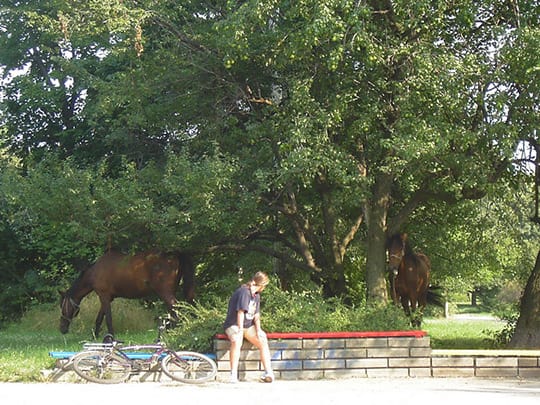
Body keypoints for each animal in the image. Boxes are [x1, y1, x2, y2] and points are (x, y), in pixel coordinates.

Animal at [59, 250, 195, 336]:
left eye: (63, 306)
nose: (62, 328)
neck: (94, 272)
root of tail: (174, 255)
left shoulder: (103, 296)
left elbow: (108, 318)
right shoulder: (107, 298)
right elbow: (100, 318)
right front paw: (95, 335)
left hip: (165, 292)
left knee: (175, 309)